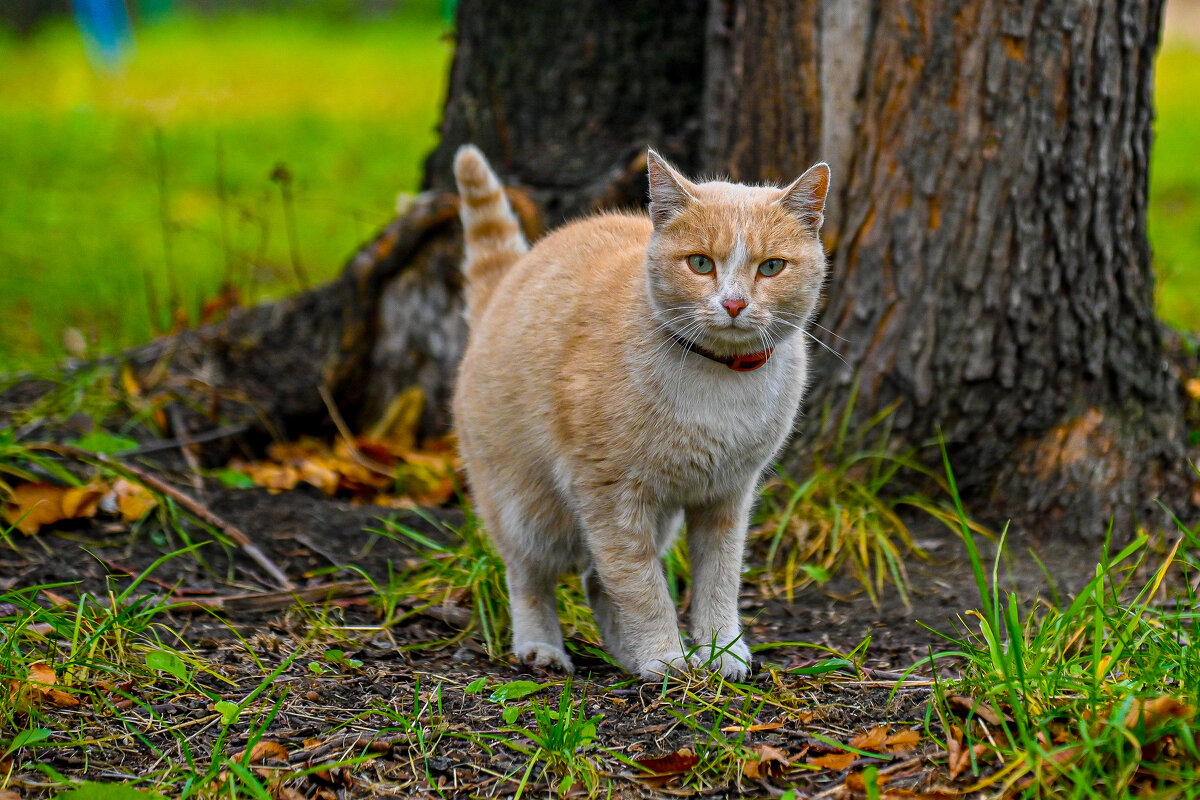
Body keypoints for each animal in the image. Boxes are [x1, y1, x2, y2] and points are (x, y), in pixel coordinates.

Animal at [451, 145, 835, 681]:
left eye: (771, 267)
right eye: (700, 264)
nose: (734, 303)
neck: (719, 376)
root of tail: (506, 282)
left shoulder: (728, 496)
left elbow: (718, 579)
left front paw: (721, 650)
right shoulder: (610, 496)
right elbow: (640, 585)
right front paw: (665, 656)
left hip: (656, 519)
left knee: (595, 581)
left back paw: (627, 656)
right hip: (527, 507)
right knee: (530, 574)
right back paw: (542, 647)